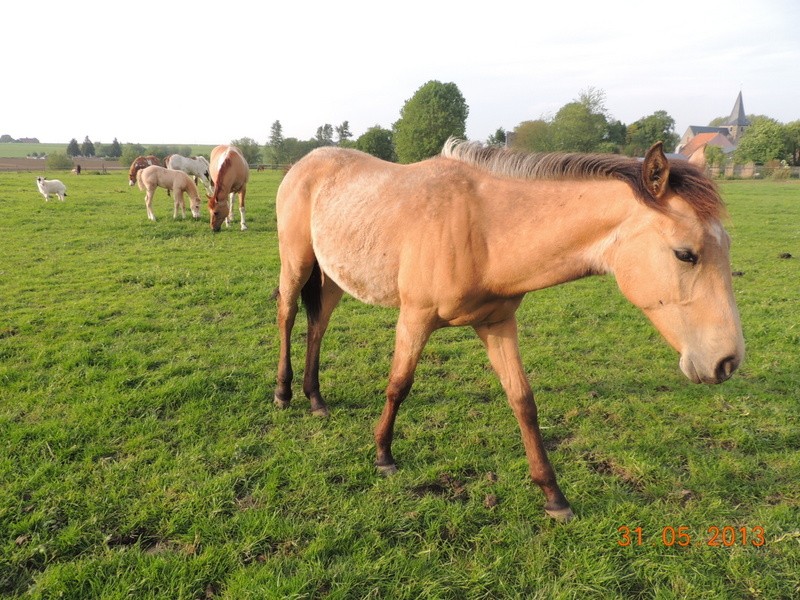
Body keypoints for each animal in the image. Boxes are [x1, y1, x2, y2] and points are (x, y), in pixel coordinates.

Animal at [274, 139, 744, 520]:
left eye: (726, 247)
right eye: (686, 254)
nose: (727, 361)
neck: (482, 230)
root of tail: (306, 162)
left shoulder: (497, 324)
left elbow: (523, 401)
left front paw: (554, 496)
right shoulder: (415, 318)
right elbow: (398, 385)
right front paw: (383, 455)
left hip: (334, 278)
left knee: (318, 326)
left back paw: (315, 398)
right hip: (297, 263)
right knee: (288, 317)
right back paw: (283, 392)